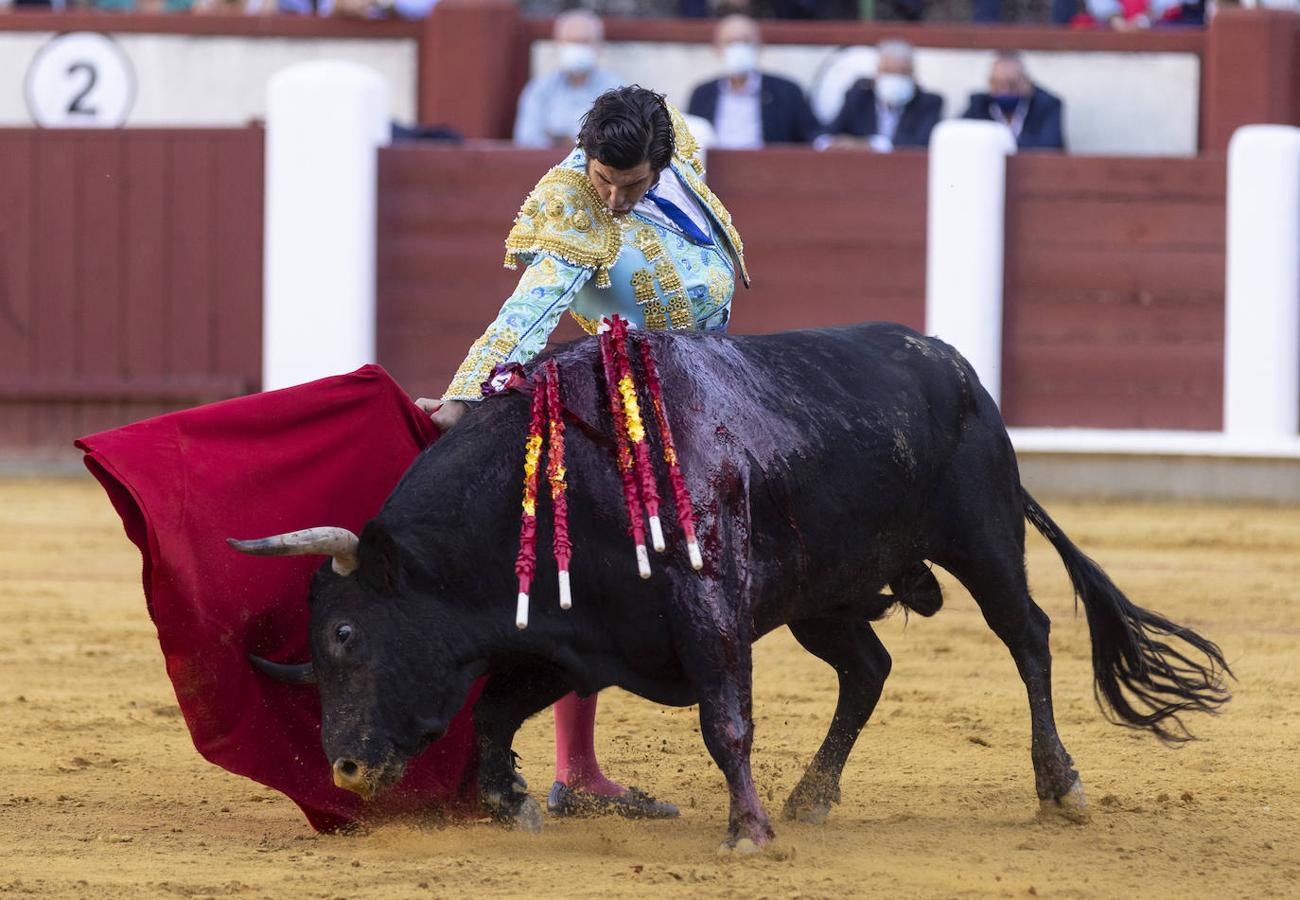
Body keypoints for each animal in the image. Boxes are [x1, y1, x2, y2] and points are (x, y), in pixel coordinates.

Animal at [231, 325, 1227, 853]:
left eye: (347, 635)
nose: (345, 767)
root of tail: (957, 366)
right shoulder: (579, 634)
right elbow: (497, 711)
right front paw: (511, 803)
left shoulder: (706, 605)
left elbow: (725, 719)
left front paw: (746, 832)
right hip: (824, 596)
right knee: (868, 668)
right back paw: (814, 794)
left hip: (982, 539)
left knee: (1028, 636)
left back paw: (1060, 783)